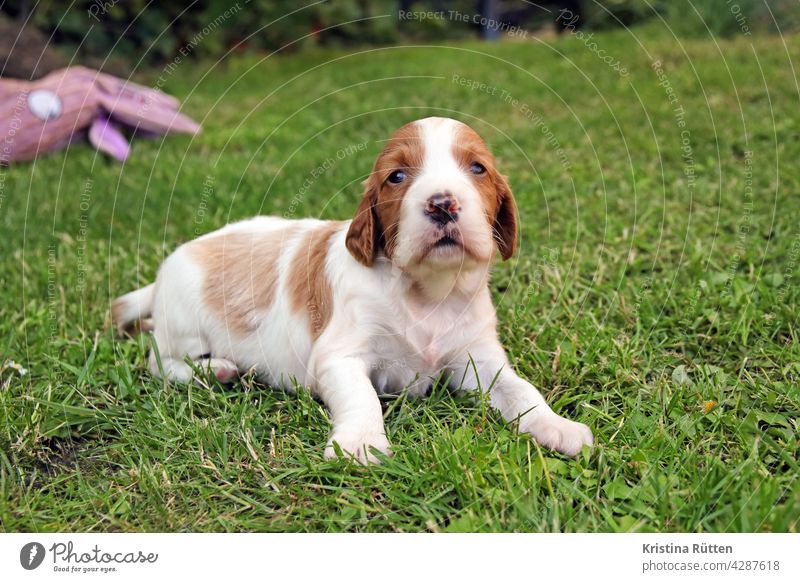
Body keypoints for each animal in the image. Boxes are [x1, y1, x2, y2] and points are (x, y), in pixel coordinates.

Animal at [115, 116, 596, 466]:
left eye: (478, 168)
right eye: (396, 176)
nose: (442, 203)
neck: (427, 289)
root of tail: (161, 276)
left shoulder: (478, 359)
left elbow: (521, 389)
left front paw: (557, 426)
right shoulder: (339, 357)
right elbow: (363, 396)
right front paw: (362, 444)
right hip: (184, 325)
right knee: (158, 361)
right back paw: (215, 370)